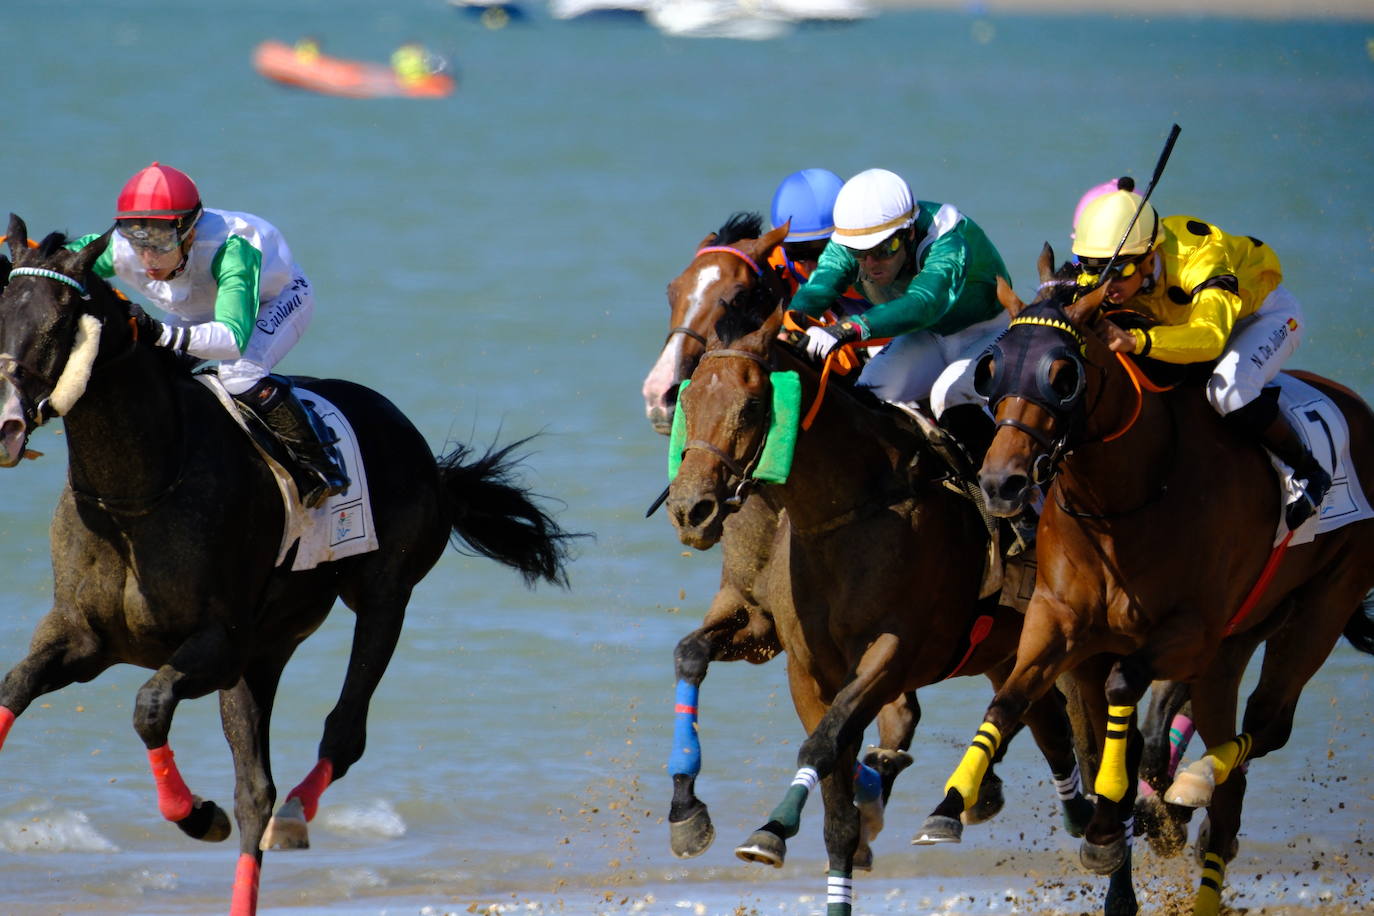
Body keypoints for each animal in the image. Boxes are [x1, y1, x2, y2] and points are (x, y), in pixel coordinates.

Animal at [0, 219, 574, 916]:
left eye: (60, 320)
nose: (6, 420)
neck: (137, 495)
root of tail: (429, 459)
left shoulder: (216, 643)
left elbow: (149, 707)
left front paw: (196, 815)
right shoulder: (81, 637)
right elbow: (15, 689)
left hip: (381, 599)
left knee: (339, 736)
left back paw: (297, 811)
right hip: (266, 654)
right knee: (256, 790)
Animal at [648, 216, 917, 867]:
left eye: (739, 296)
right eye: (673, 291)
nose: (661, 393)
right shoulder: (756, 616)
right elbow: (689, 654)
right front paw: (686, 811)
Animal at [665, 304, 1093, 911]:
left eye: (751, 405)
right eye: (687, 400)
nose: (690, 508)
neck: (849, 511)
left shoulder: (892, 652)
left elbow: (823, 744)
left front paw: (774, 824)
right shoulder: (799, 660)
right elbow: (834, 798)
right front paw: (711, 820)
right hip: (1008, 652)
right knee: (1044, 722)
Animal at [917, 243, 1374, 916]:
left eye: (1063, 374)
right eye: (989, 370)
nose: (1001, 483)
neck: (1127, 496)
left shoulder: (1186, 630)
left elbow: (1123, 690)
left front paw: (1110, 823)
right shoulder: (1060, 626)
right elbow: (1013, 701)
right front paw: (950, 805)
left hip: (1323, 604)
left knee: (1267, 726)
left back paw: (1192, 782)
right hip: (1235, 643)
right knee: (1232, 784)